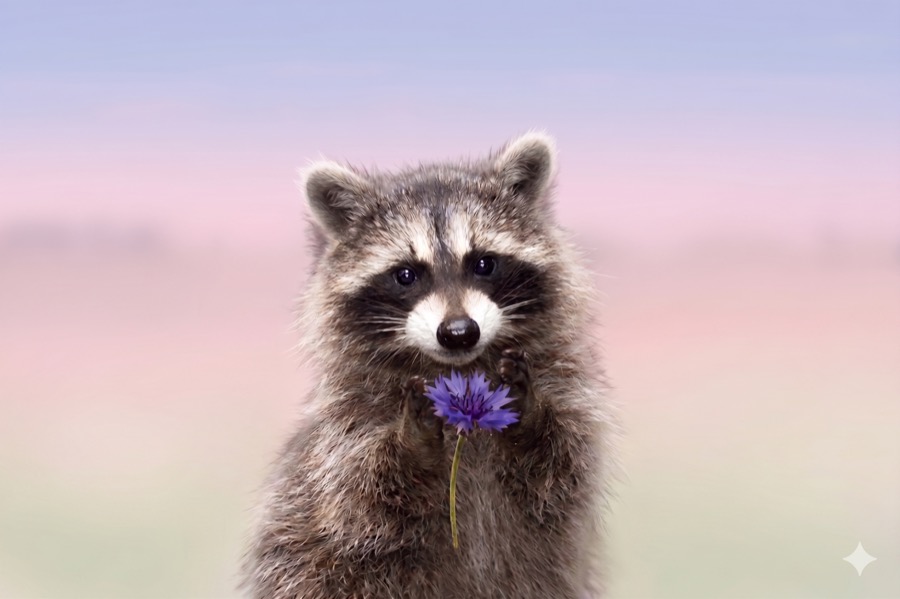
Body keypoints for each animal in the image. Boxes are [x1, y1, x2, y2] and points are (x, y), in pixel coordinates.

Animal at [242, 133, 618, 598]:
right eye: (406, 274)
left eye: (483, 263)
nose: (459, 332)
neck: (461, 371)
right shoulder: (346, 425)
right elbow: (361, 498)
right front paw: (412, 443)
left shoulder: (566, 381)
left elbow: (564, 465)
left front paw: (528, 414)